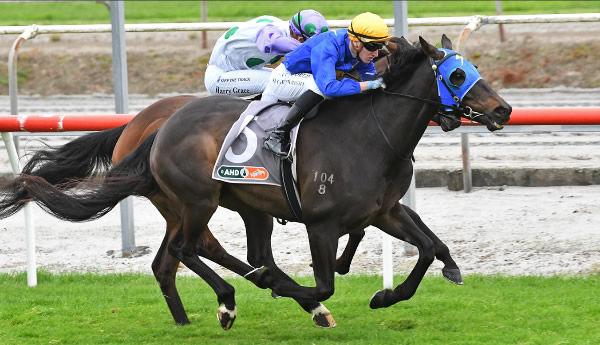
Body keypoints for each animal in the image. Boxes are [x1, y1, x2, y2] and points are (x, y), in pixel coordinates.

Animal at [3, 34, 510, 328]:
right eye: (458, 73)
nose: (504, 109)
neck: (372, 134)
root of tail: (155, 130)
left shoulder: (385, 209)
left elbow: (429, 248)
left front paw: (389, 294)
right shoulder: (322, 224)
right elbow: (324, 283)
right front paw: (303, 294)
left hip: (229, 205)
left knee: (192, 257)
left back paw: (193, 316)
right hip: (197, 200)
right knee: (191, 249)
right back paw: (234, 300)